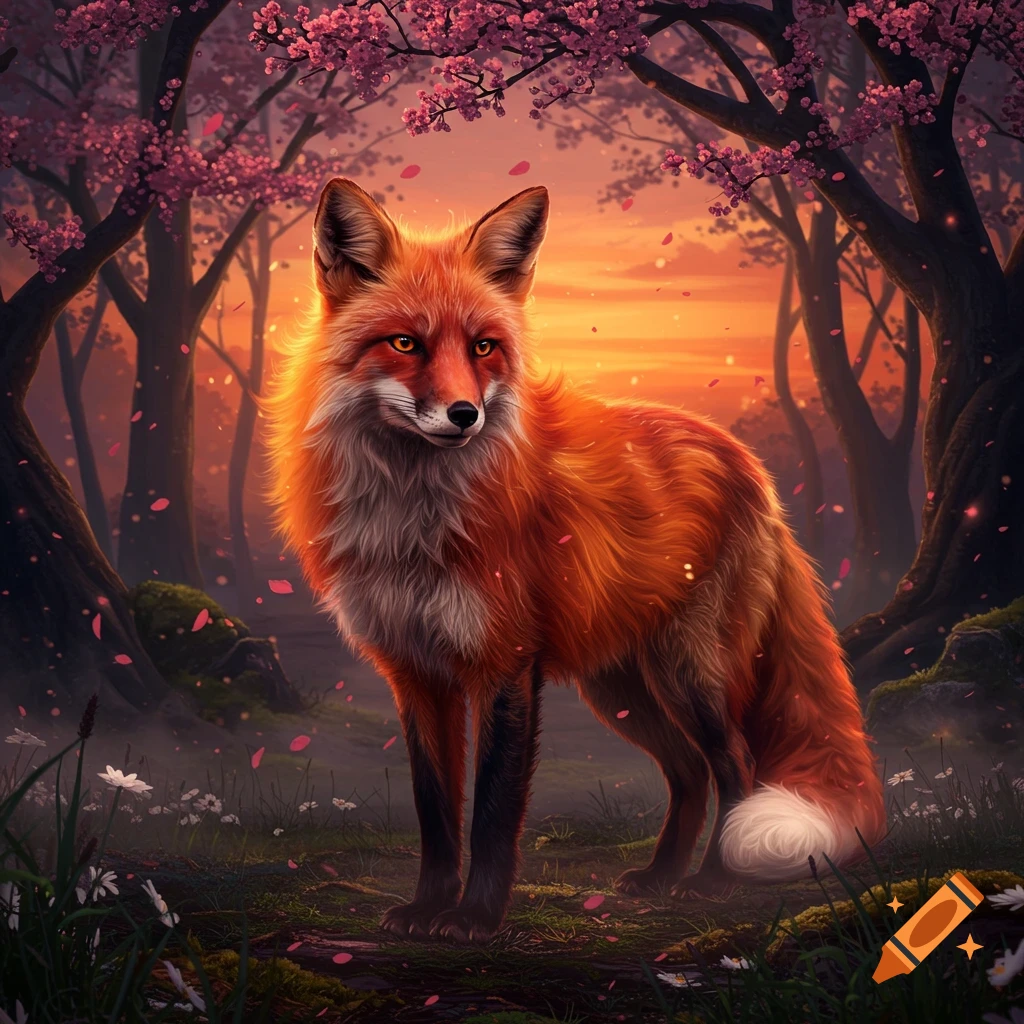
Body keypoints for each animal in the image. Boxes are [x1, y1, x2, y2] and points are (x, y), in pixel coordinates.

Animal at [263, 177, 886, 944]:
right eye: (405, 343)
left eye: (484, 347)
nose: (465, 414)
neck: (413, 521)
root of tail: (750, 467)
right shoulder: (415, 672)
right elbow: (436, 811)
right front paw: (427, 907)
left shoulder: (504, 663)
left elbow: (493, 812)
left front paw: (475, 917)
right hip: (620, 687)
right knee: (689, 773)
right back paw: (659, 876)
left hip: (692, 672)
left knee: (734, 763)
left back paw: (711, 881)